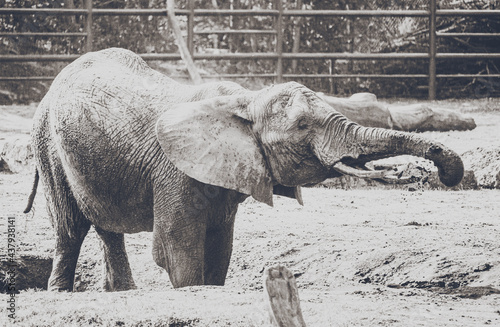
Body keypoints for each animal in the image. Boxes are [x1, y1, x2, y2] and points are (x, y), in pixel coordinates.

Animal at [22, 48, 460, 292]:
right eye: (303, 126)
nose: (447, 172)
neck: (247, 100)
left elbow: (221, 243)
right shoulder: (175, 170)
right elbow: (175, 247)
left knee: (105, 228)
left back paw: (122, 293)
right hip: (48, 145)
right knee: (70, 228)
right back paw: (61, 293)